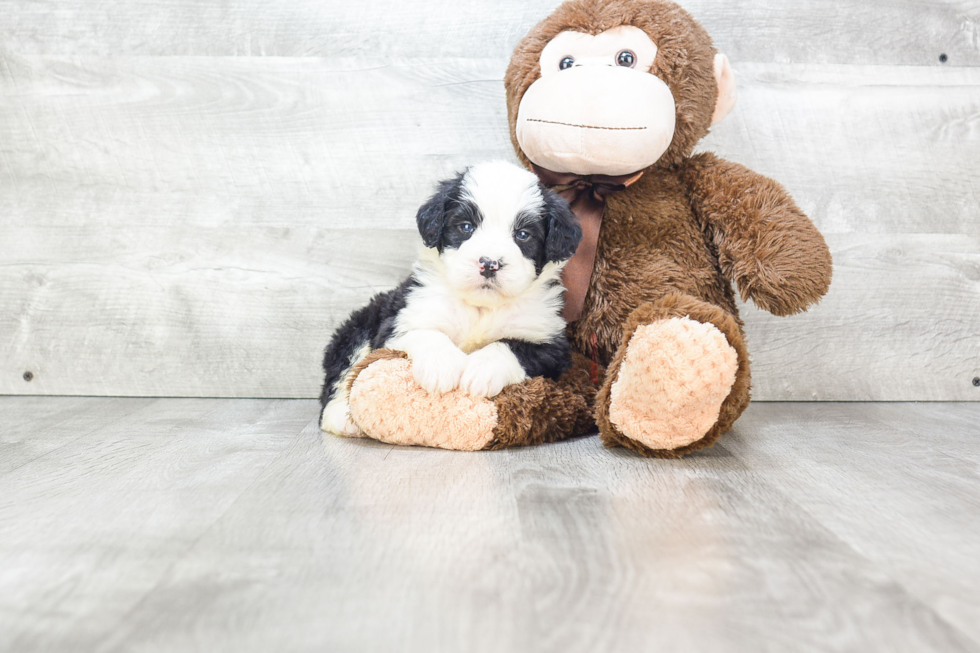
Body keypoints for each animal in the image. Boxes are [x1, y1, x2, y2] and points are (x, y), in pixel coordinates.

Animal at [322, 159, 580, 436]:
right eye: (466, 227)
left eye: (523, 234)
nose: (489, 263)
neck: (480, 307)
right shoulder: (402, 319)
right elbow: (427, 334)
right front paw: (441, 366)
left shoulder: (551, 343)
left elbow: (511, 346)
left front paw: (483, 370)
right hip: (359, 326)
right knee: (342, 373)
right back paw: (341, 417)